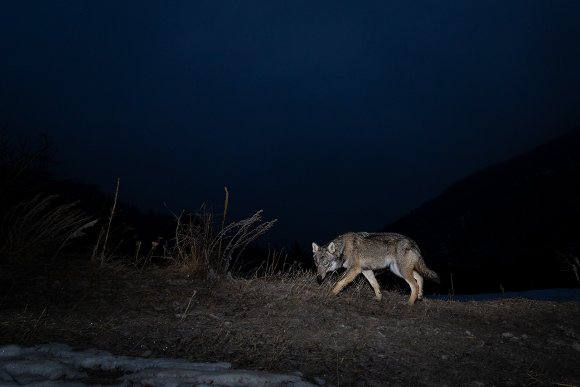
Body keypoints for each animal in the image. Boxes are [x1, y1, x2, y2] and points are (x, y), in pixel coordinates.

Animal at [312, 232, 440, 304]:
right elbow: (375, 285)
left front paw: (330, 295)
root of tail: (414, 243)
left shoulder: (354, 270)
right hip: (398, 270)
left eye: (326, 264)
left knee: (414, 285)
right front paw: (379, 299)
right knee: (419, 277)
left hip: (401, 271)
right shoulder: (366, 270)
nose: (319, 278)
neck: (343, 248)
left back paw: (410, 303)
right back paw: (420, 296)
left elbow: (339, 282)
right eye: (317, 264)